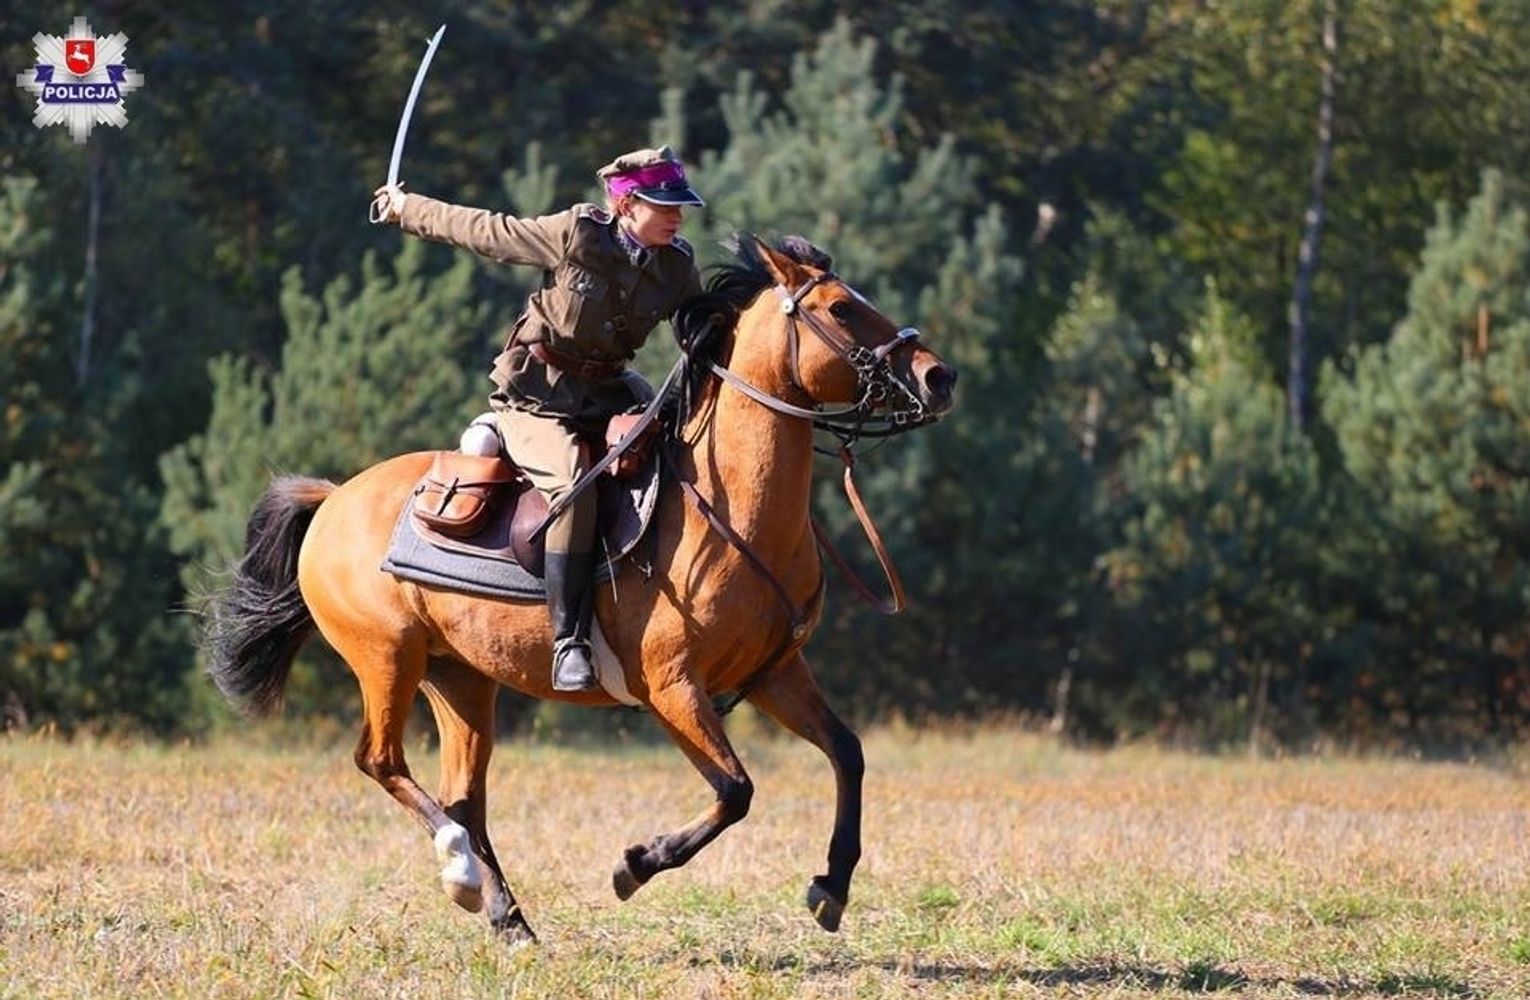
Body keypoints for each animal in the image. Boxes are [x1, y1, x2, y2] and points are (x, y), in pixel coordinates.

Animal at [205, 235, 957, 944]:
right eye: (841, 308)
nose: (938, 375)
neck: (732, 511)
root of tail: (334, 498)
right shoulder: (673, 690)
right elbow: (735, 790)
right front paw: (637, 863)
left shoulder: (775, 672)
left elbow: (847, 754)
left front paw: (831, 886)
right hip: (387, 659)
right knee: (383, 762)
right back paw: (460, 872)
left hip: (459, 679)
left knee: (464, 798)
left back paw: (507, 917)